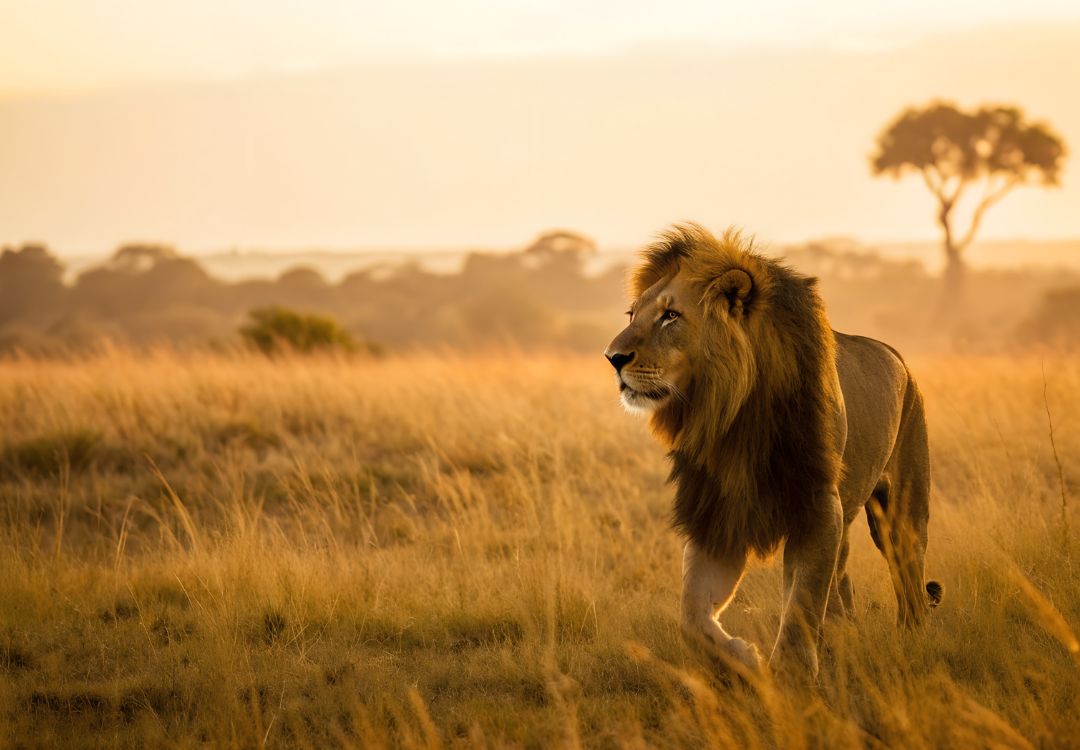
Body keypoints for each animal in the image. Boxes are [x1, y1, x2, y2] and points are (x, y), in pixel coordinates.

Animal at [604, 225, 942, 679]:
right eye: (632, 315)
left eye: (670, 316)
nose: (613, 358)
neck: (737, 413)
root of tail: (897, 356)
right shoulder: (716, 512)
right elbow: (691, 615)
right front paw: (745, 657)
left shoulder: (816, 505)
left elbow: (801, 602)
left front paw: (792, 675)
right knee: (842, 581)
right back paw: (842, 638)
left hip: (903, 513)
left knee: (909, 585)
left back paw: (909, 642)